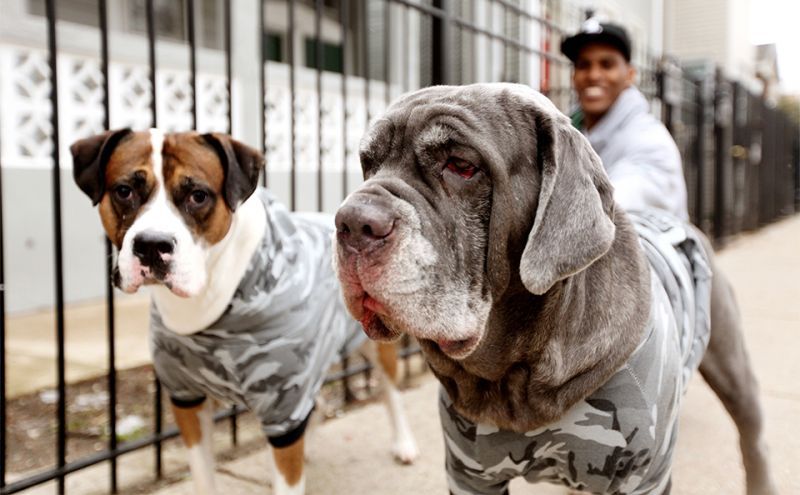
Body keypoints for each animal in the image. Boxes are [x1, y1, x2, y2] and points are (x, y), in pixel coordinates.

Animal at [69, 130, 418, 495]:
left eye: (198, 195)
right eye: (124, 191)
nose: (152, 244)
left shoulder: (282, 406)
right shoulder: (187, 400)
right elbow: (203, 474)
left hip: (375, 347)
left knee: (391, 392)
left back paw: (403, 444)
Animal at [332, 85, 776, 495]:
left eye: (461, 166)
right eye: (368, 164)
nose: (352, 222)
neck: (516, 379)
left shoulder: (642, 477)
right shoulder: (468, 474)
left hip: (734, 369)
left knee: (753, 442)